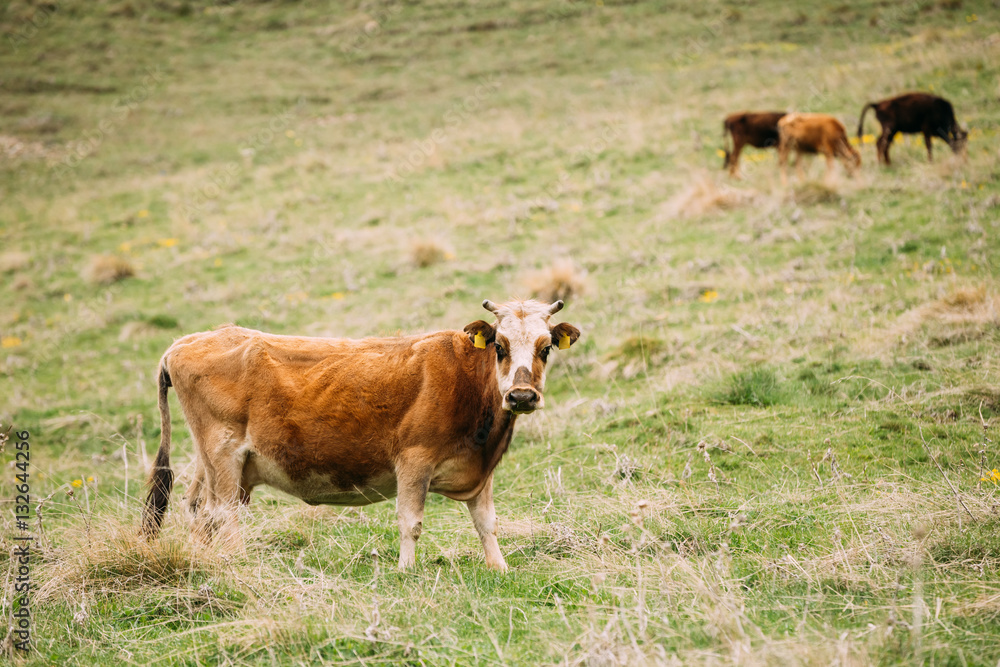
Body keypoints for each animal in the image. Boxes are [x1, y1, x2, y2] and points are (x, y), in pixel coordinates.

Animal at [140, 300, 580, 572]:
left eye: (545, 348)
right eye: (500, 347)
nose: (521, 396)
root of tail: (187, 341)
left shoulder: (479, 469)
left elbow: (486, 522)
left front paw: (499, 567)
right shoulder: (414, 460)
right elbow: (411, 521)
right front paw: (406, 570)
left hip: (214, 462)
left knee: (199, 511)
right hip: (224, 454)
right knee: (223, 514)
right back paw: (236, 561)